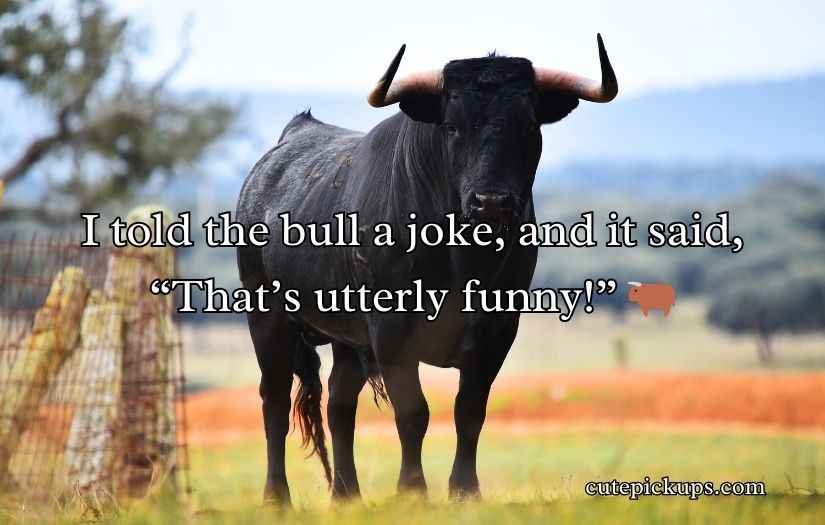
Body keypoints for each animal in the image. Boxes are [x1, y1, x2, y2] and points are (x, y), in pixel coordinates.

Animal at [236, 35, 618, 504]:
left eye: (529, 126)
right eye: (452, 127)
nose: (491, 203)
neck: (462, 255)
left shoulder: (497, 330)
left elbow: (469, 411)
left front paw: (465, 491)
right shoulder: (392, 330)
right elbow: (413, 412)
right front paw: (412, 490)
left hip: (347, 337)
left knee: (340, 404)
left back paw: (347, 495)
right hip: (266, 316)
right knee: (273, 399)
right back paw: (277, 497)